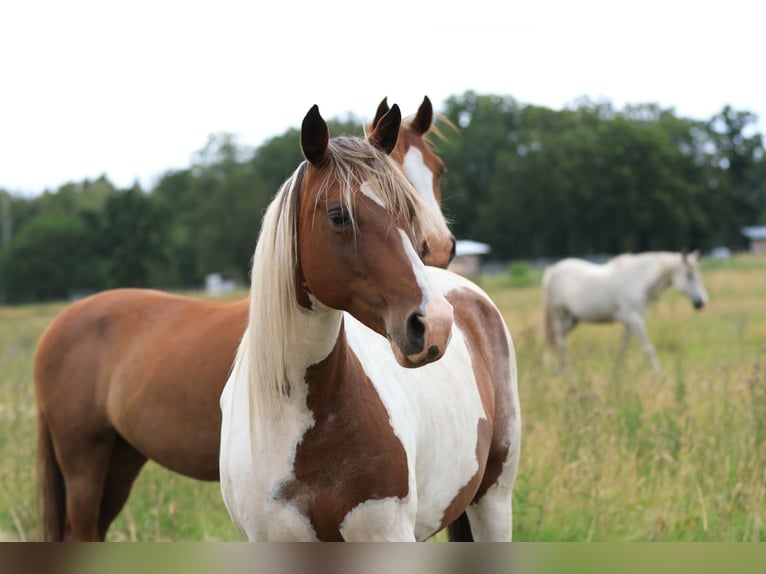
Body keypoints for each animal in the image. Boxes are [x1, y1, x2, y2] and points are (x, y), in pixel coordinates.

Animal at [33, 97, 456, 541]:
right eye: (340, 216)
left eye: (437, 170)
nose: (439, 248)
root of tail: (60, 323)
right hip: (83, 463)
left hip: (120, 459)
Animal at [219, 104, 520, 542]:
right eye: (339, 216)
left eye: (407, 210)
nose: (435, 324)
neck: (295, 417)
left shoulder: (388, 533)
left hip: (493, 501)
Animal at [541, 250, 709, 373]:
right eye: (689, 275)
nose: (701, 303)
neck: (638, 279)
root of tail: (551, 271)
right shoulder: (635, 319)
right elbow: (648, 347)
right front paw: (659, 375)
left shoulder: (630, 322)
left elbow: (622, 349)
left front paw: (615, 374)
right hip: (559, 315)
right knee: (560, 342)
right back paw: (566, 372)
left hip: (572, 319)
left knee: (555, 341)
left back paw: (556, 369)